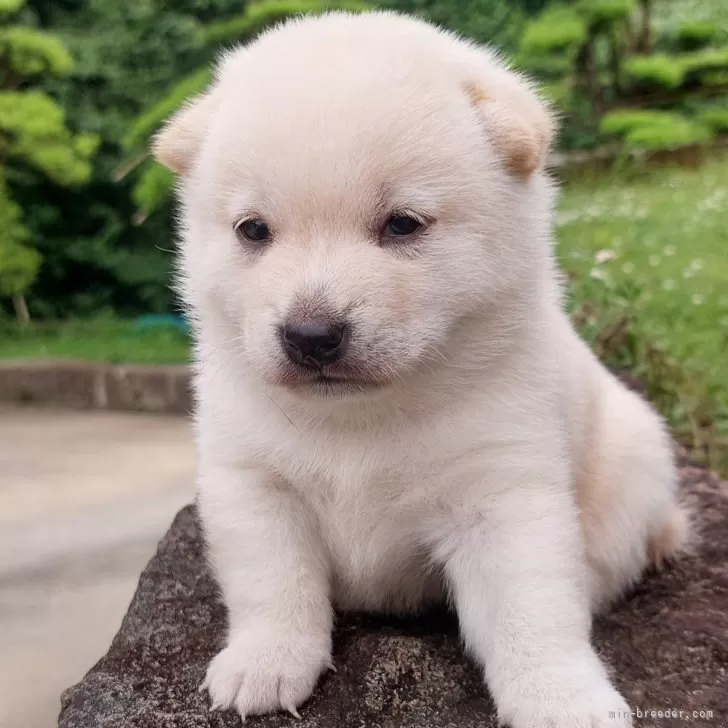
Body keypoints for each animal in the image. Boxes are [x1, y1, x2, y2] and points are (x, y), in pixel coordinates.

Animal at [154, 8, 688, 724]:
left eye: (403, 224)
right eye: (253, 230)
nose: (311, 335)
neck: (360, 419)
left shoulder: (500, 489)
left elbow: (533, 611)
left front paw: (564, 698)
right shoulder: (254, 480)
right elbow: (273, 583)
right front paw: (265, 663)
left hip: (635, 451)